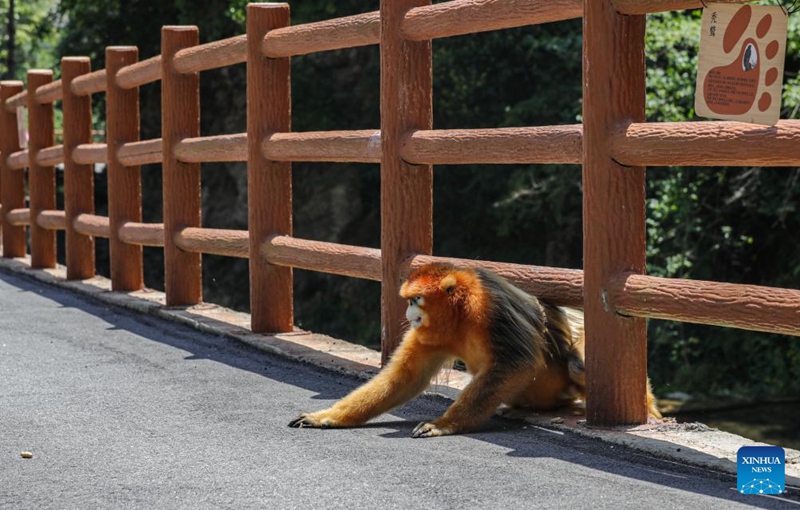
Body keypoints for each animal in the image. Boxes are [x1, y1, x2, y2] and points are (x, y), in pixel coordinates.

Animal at [289, 262, 661, 437]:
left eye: (415, 299)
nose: (409, 314)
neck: (462, 316)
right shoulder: (429, 333)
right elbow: (403, 379)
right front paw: (328, 417)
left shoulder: (491, 307)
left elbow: (518, 364)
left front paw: (444, 424)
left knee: (577, 364)